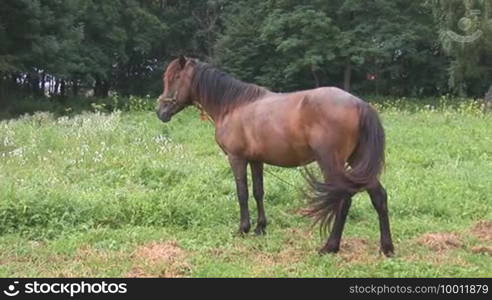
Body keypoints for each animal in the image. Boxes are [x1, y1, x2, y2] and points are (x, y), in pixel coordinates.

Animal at [156, 55, 394, 255]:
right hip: (359, 163)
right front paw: (260, 228)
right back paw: (386, 248)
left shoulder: (236, 158)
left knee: (343, 199)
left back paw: (330, 246)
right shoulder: (256, 160)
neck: (233, 105)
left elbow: (242, 193)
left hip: (332, 163)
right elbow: (258, 192)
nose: (160, 111)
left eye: (175, 78)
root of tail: (360, 104)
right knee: (379, 197)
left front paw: (243, 229)